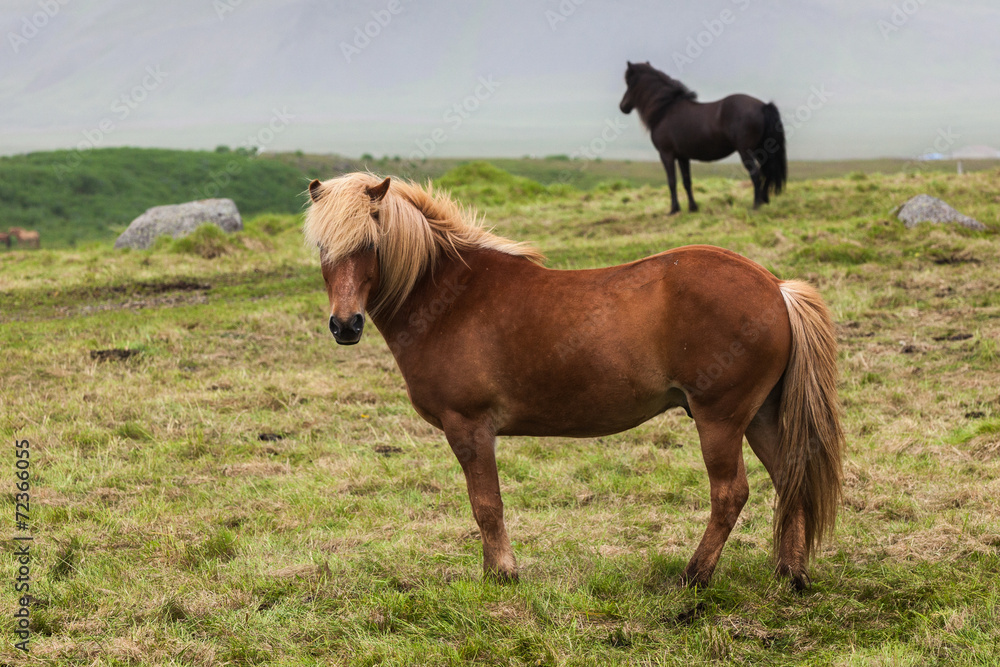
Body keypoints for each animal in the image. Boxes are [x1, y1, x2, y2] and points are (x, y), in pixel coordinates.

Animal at [304, 173, 843, 590]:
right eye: (323, 247)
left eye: (369, 244)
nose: (345, 326)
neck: (449, 298)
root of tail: (775, 287)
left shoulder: (469, 428)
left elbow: (486, 505)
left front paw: (502, 575)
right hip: (761, 416)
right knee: (789, 477)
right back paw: (790, 574)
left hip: (721, 419)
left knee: (731, 493)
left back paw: (695, 576)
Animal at [620, 61, 787, 214]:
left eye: (629, 83)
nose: (622, 106)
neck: (665, 109)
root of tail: (763, 105)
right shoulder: (682, 156)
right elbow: (687, 181)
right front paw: (692, 208)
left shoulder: (666, 154)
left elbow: (672, 181)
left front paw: (674, 210)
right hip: (762, 149)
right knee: (768, 172)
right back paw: (764, 200)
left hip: (746, 152)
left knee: (756, 174)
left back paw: (755, 205)